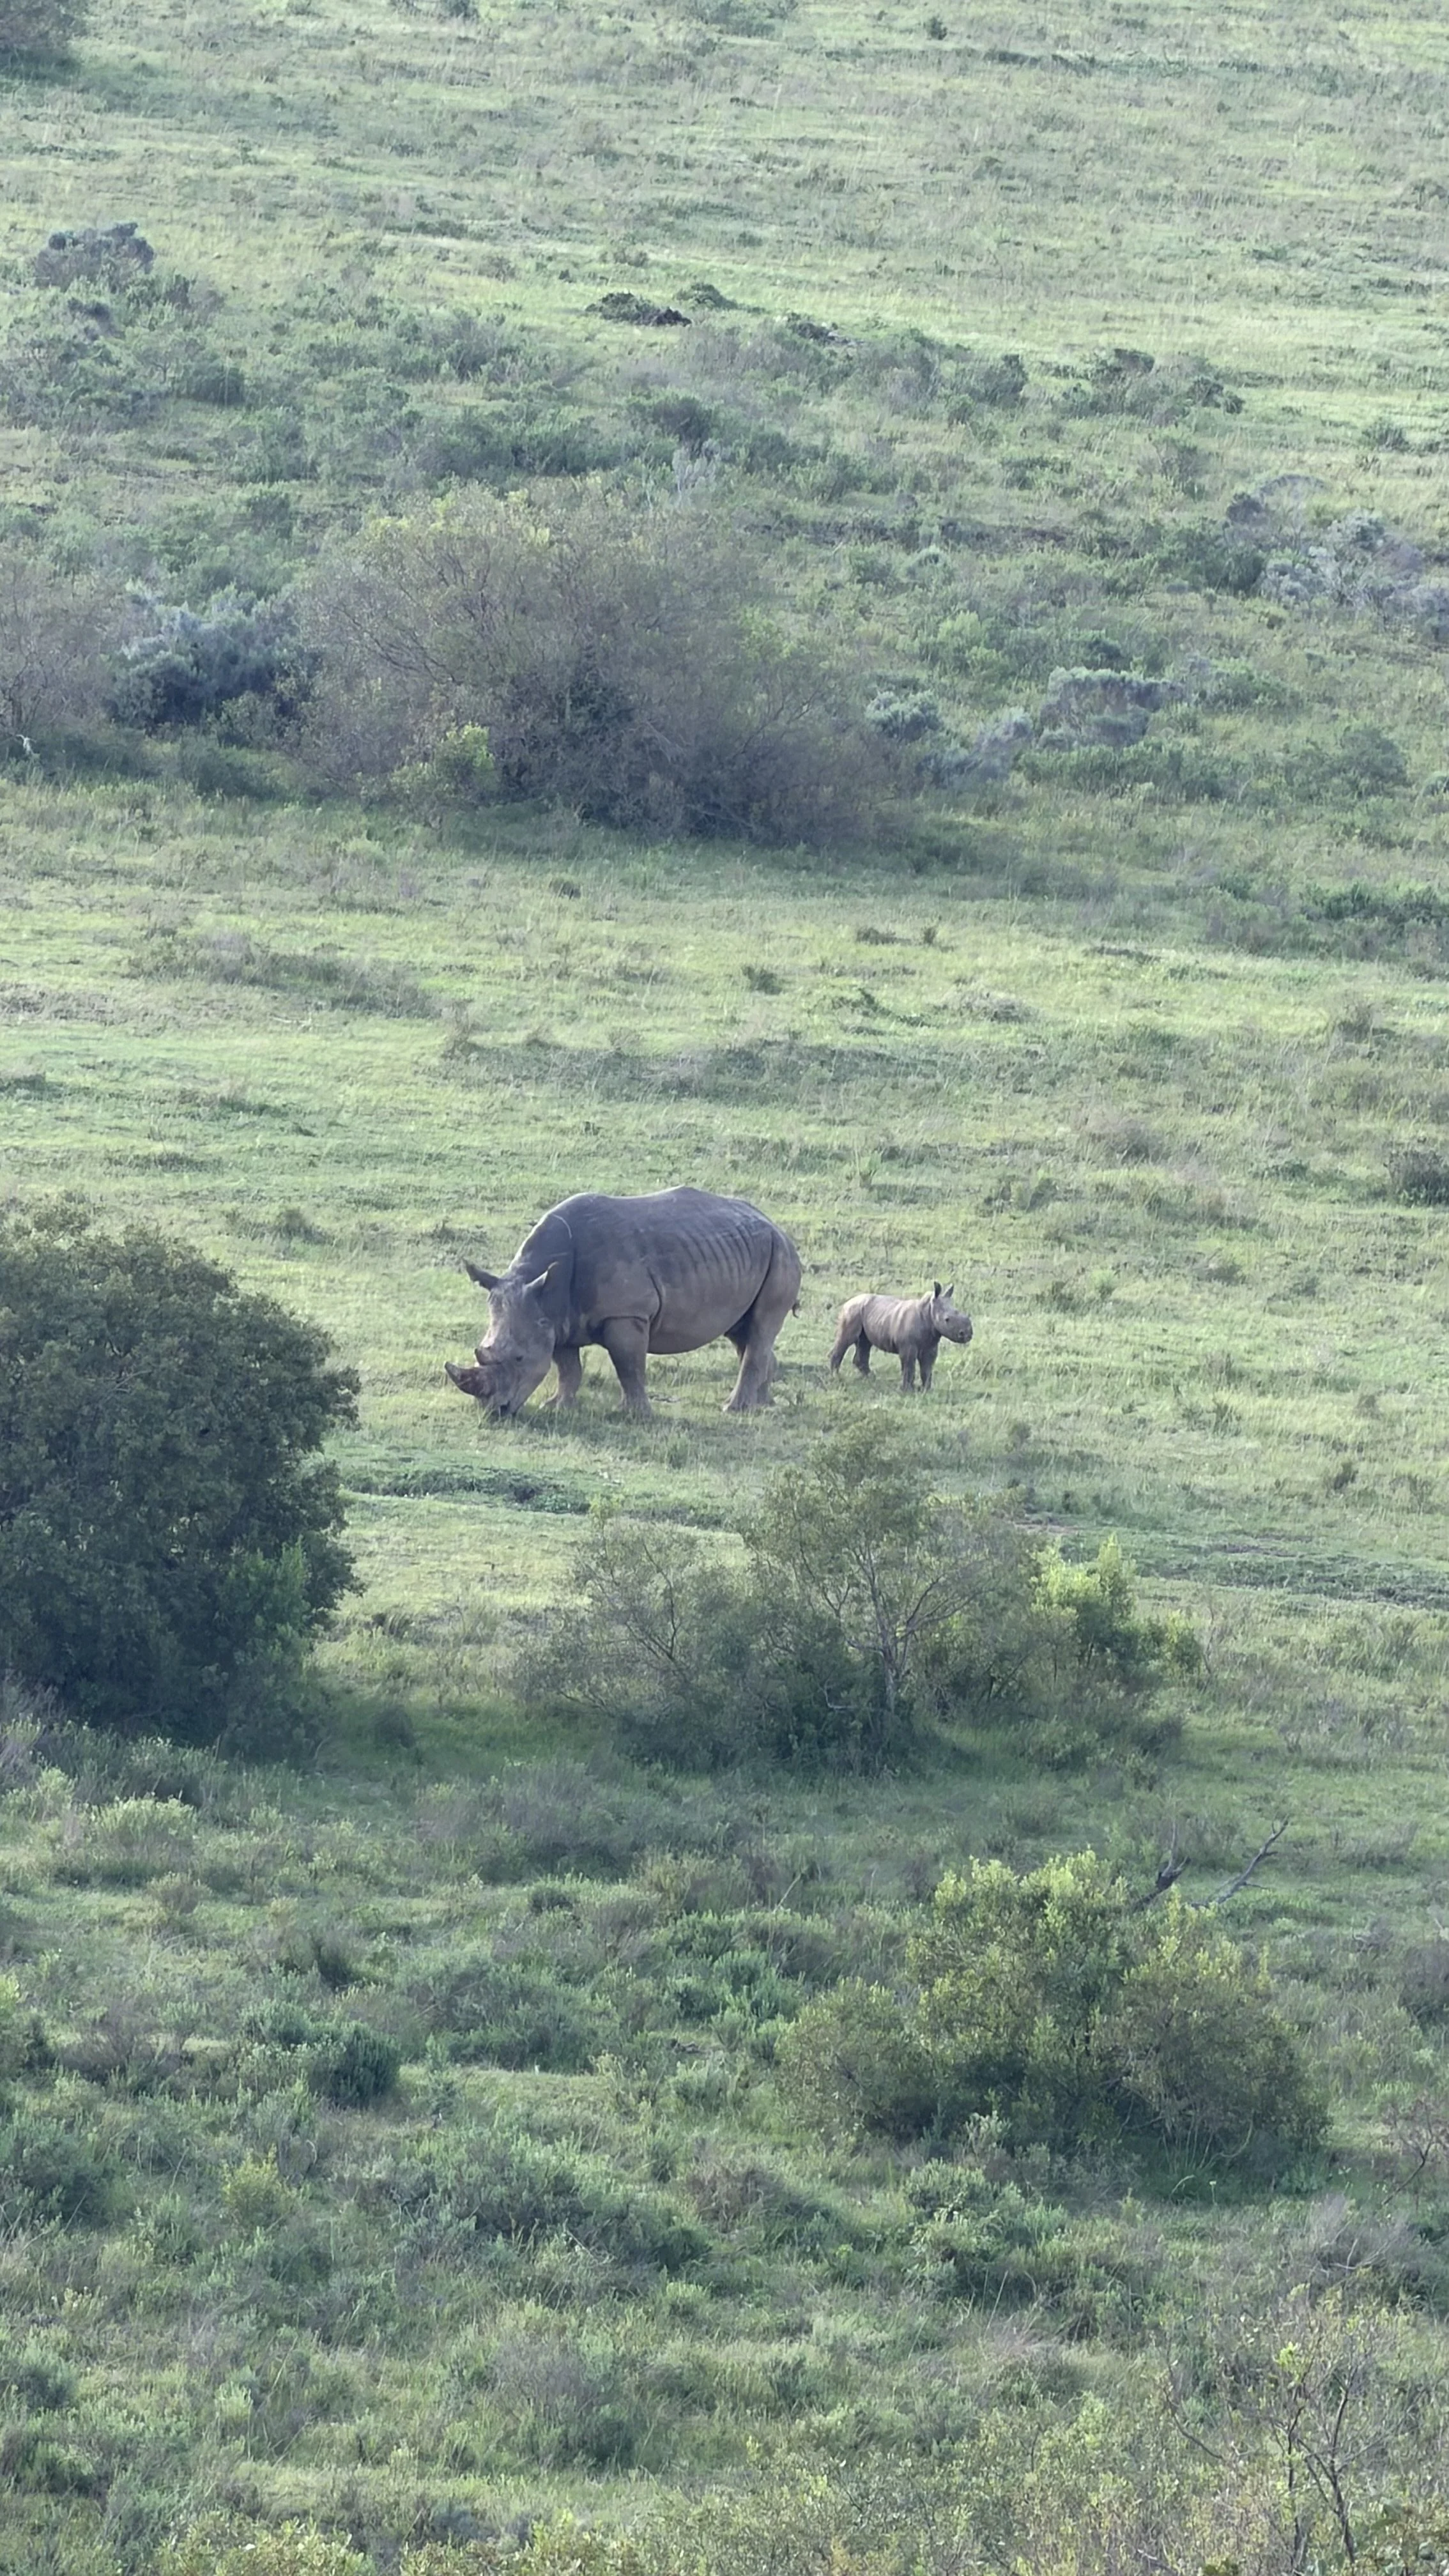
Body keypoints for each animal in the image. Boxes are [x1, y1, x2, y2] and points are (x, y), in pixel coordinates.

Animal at [446, 1187, 802, 1418]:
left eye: (519, 1358)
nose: (495, 1412)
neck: (546, 1286)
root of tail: (777, 1226)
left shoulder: (625, 1314)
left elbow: (628, 1364)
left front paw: (633, 1415)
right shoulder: (556, 1318)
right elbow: (567, 1367)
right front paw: (558, 1406)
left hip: (781, 1254)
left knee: (760, 1328)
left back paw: (733, 1410)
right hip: (751, 1254)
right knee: (743, 1332)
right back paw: (762, 1406)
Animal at [828, 1283, 973, 1392]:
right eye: (947, 1320)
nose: (967, 1334)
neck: (928, 1311)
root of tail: (847, 1302)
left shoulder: (931, 1345)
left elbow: (927, 1368)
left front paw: (926, 1390)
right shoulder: (908, 1346)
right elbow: (909, 1366)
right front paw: (908, 1390)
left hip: (865, 1313)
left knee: (865, 1343)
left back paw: (871, 1378)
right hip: (852, 1312)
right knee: (847, 1340)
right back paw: (836, 1377)